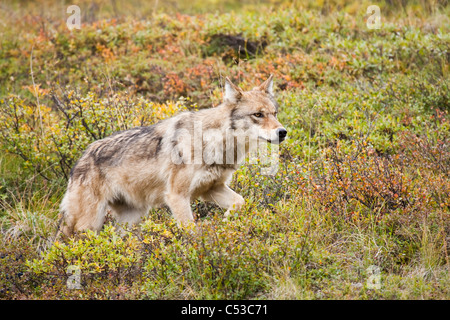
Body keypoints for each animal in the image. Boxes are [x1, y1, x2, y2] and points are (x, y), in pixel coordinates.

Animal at [59, 75, 288, 235]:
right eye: (258, 115)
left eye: (274, 113)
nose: (283, 132)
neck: (215, 141)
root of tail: (79, 161)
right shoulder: (177, 196)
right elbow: (191, 231)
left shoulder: (211, 189)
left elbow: (240, 202)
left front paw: (226, 222)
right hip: (89, 224)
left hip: (130, 219)